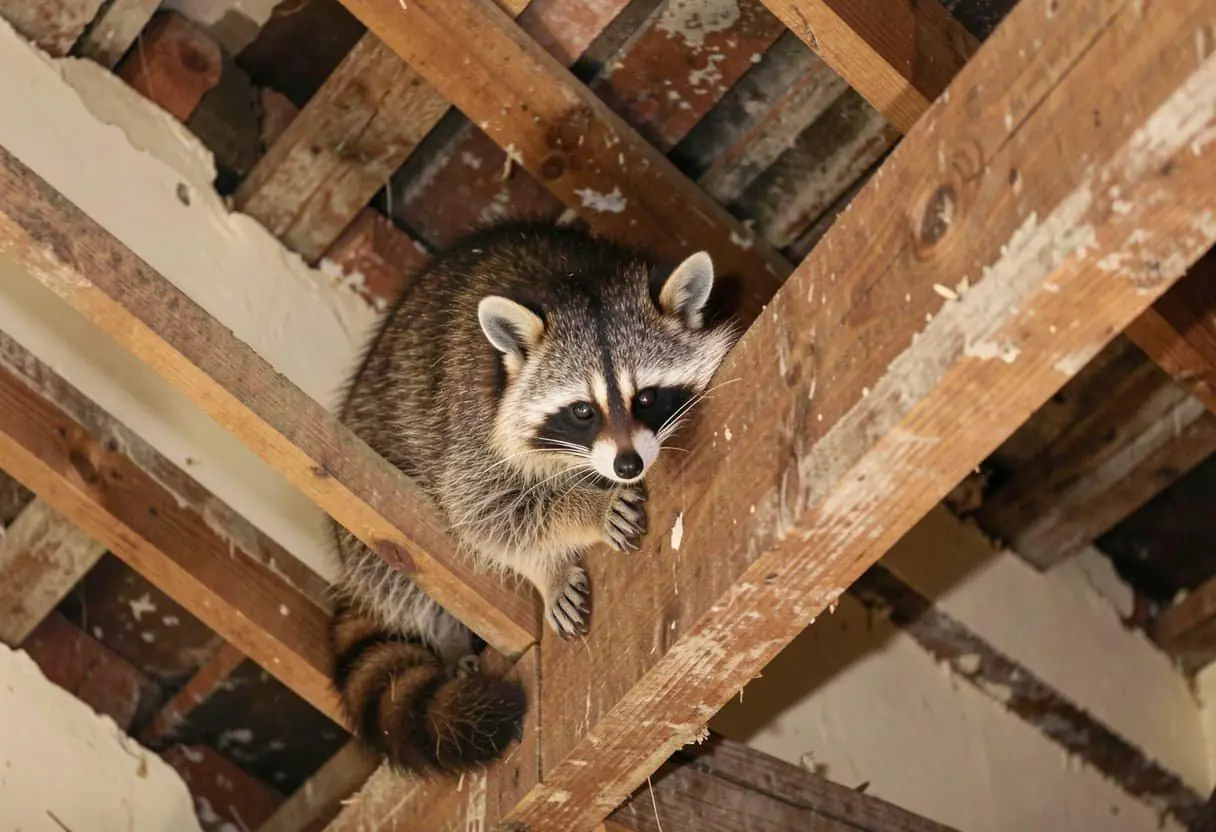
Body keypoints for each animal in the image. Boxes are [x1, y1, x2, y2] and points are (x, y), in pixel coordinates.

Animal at [329, 221, 738, 776]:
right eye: (583, 411)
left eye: (647, 397)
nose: (628, 466)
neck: (579, 279)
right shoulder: (469, 419)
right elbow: (486, 511)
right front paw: (569, 536)